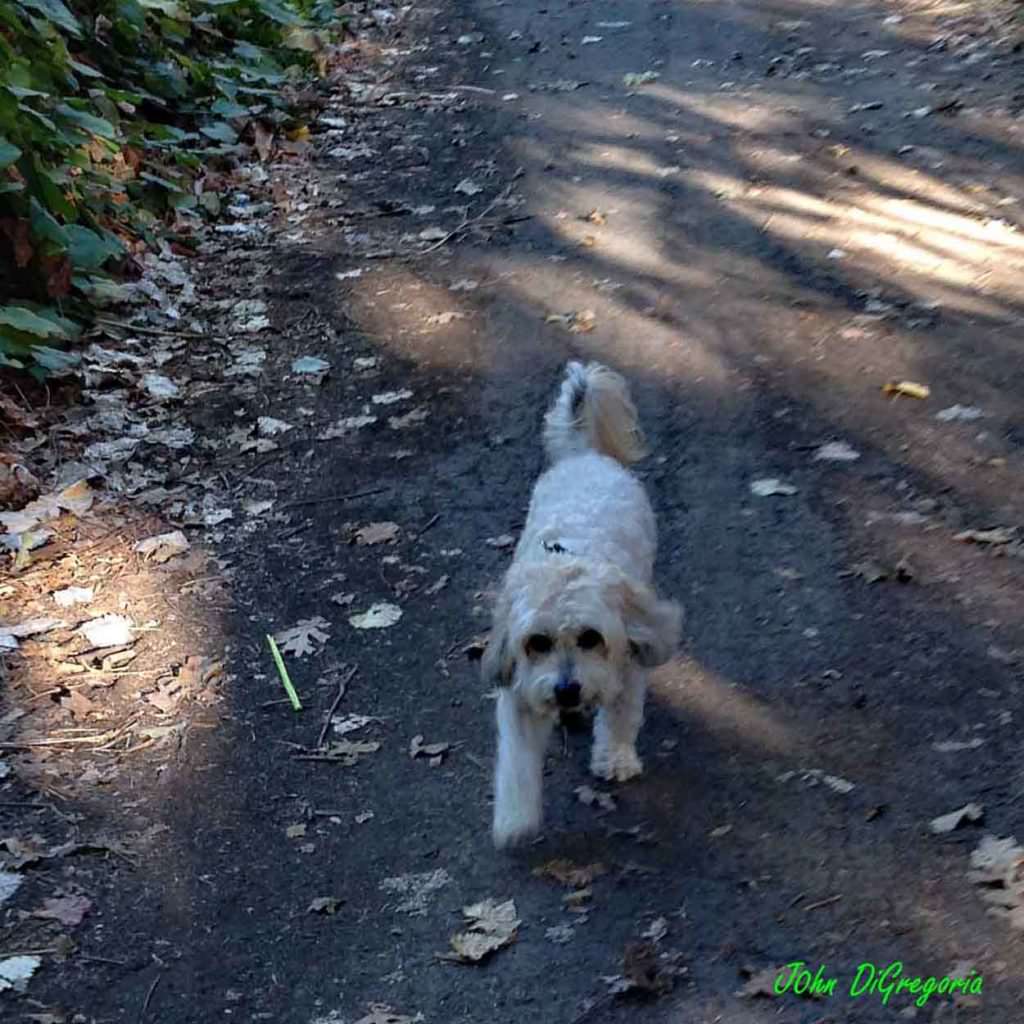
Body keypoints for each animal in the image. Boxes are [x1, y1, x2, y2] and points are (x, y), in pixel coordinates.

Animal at [485, 362, 684, 847]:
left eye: (591, 637)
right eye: (536, 643)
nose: (566, 690)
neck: (567, 560)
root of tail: (585, 457)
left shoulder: (628, 659)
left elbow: (622, 714)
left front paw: (614, 757)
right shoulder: (518, 688)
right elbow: (516, 760)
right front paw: (515, 817)